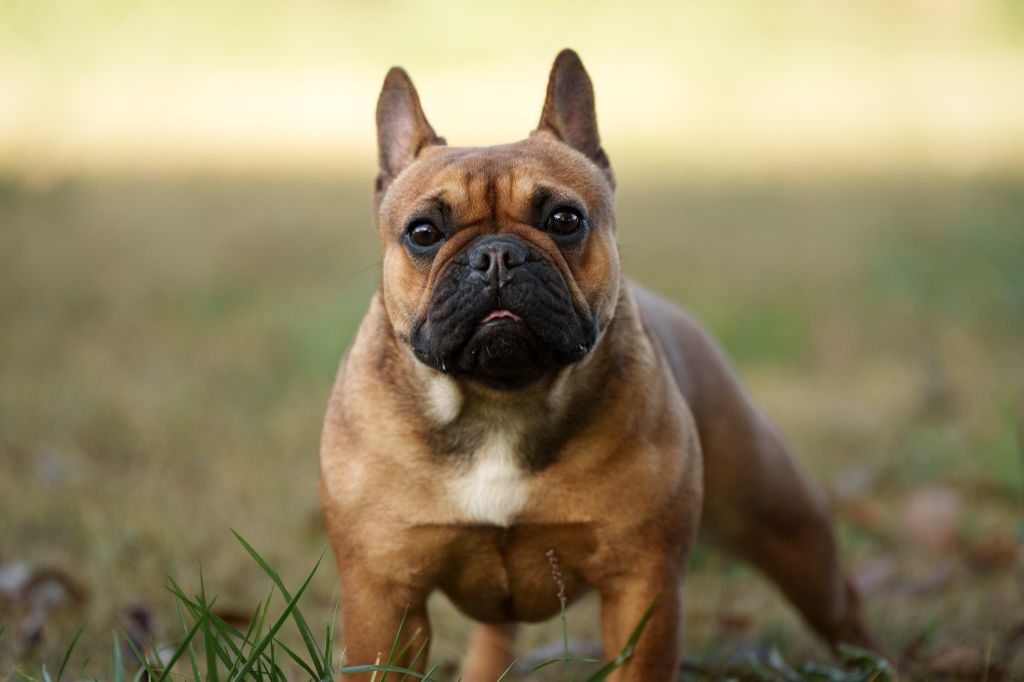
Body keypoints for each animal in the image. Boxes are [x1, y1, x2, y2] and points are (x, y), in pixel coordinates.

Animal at [319, 49, 872, 679]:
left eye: (564, 220)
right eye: (423, 232)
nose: (496, 255)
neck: (500, 401)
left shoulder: (641, 586)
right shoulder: (384, 598)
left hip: (781, 523)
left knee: (839, 604)